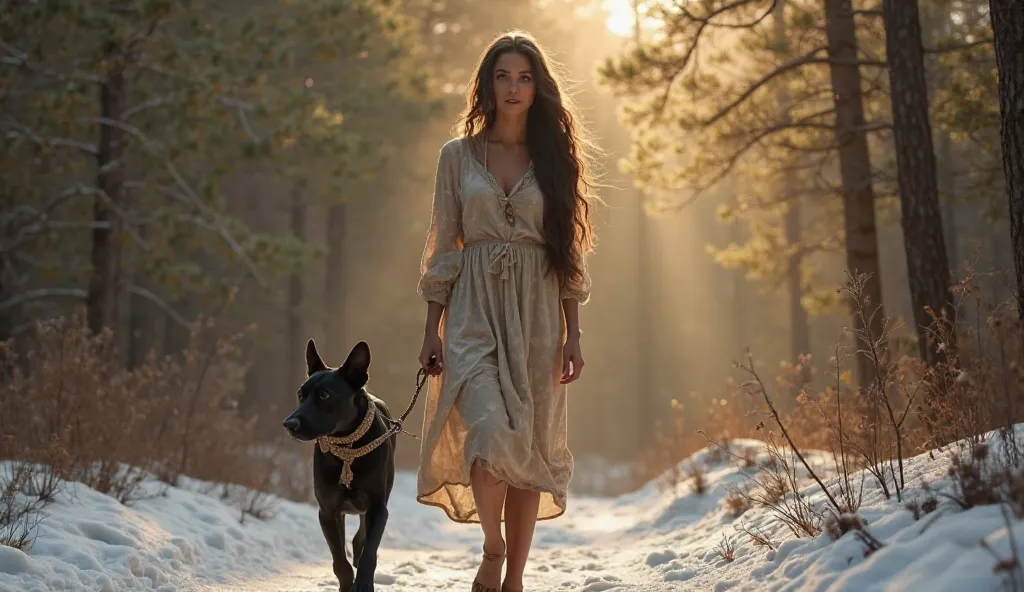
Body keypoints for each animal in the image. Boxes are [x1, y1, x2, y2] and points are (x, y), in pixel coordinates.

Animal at [284, 337, 395, 589]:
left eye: (325, 395)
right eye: (300, 394)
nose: (289, 424)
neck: (347, 448)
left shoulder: (378, 508)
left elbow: (369, 554)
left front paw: (363, 585)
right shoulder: (327, 511)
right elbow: (339, 562)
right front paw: (347, 584)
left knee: (361, 538)